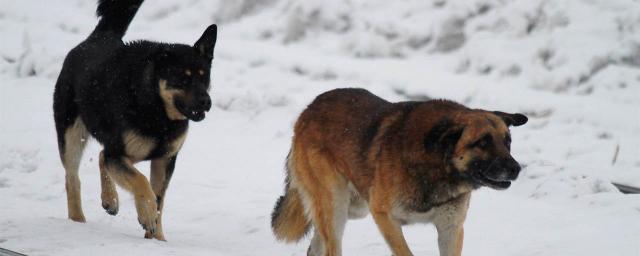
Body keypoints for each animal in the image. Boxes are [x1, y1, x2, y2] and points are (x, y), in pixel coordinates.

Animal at [53, 0, 218, 240]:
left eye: (204, 77)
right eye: (182, 78)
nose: (206, 102)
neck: (157, 111)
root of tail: (99, 36)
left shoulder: (164, 159)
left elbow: (159, 199)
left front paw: (157, 238)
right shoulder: (120, 153)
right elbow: (141, 182)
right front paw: (146, 215)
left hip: (128, 150)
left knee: (102, 156)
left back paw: (110, 200)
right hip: (72, 134)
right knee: (72, 177)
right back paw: (77, 220)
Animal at [270, 88, 524, 256]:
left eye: (507, 142)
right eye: (482, 143)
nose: (516, 169)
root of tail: (308, 110)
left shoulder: (450, 228)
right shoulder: (384, 216)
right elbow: (405, 252)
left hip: (354, 207)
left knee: (316, 243)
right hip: (336, 205)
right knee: (330, 244)